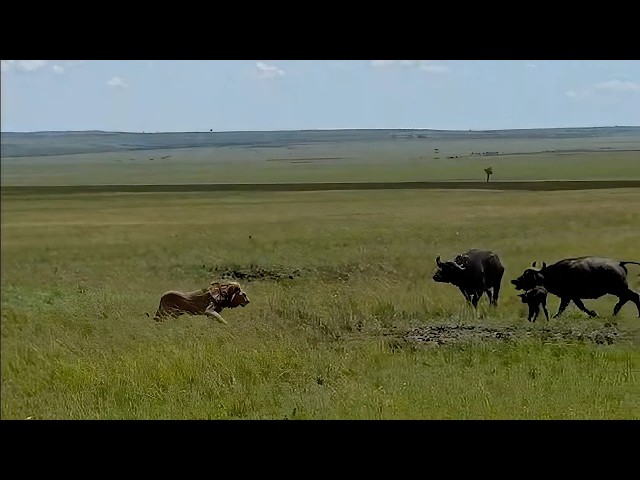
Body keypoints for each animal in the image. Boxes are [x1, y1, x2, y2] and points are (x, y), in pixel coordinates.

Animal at [511, 257, 640, 318]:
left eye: (528, 275)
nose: (515, 281)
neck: (552, 274)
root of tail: (619, 263)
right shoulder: (572, 297)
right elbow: (580, 306)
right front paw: (593, 313)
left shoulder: (568, 296)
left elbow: (564, 308)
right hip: (619, 290)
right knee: (626, 299)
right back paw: (615, 312)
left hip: (618, 289)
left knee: (634, 296)